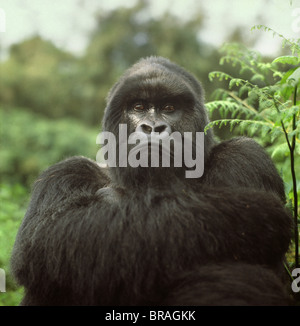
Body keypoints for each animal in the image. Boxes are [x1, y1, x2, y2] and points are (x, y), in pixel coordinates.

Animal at [10, 56, 292, 306]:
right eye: (138, 107)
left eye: (169, 108)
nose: (153, 127)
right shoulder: (66, 173)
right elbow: (48, 235)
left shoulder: (244, 156)